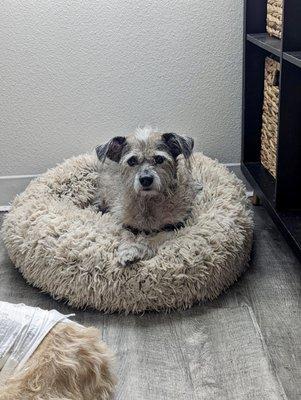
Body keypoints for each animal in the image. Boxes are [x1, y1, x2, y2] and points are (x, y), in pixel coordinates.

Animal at [95, 126, 200, 268]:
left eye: (159, 159)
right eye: (132, 161)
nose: (145, 179)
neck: (148, 202)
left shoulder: (173, 227)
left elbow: (154, 239)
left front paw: (139, 248)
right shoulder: (126, 224)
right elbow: (127, 235)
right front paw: (128, 249)